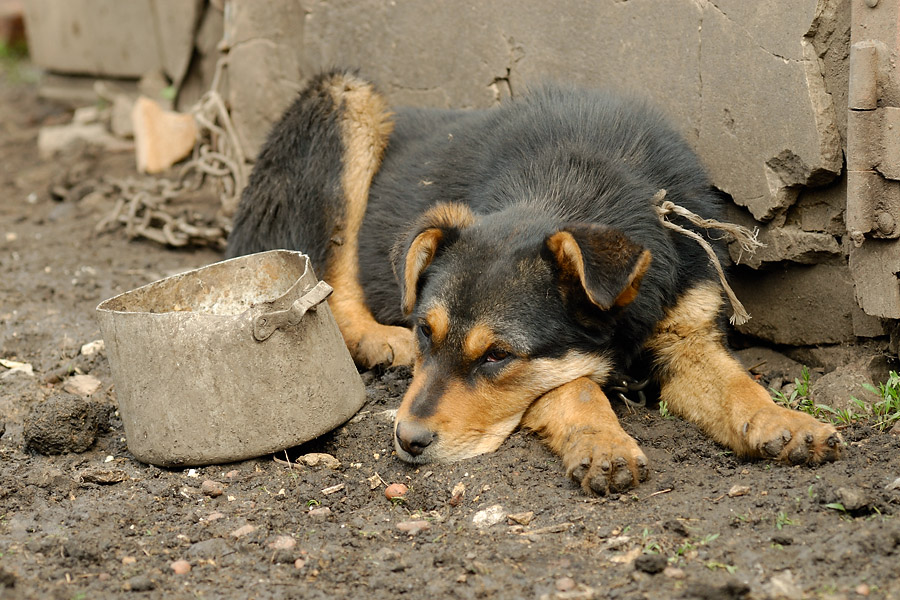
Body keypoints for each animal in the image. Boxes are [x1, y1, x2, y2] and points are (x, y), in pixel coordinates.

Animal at [227, 68, 844, 494]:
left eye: (497, 356)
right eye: (427, 332)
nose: (407, 441)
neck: (581, 180)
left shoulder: (686, 337)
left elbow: (737, 383)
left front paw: (785, 422)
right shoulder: (560, 365)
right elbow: (577, 385)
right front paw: (604, 442)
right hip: (347, 98)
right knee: (326, 274)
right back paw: (379, 338)